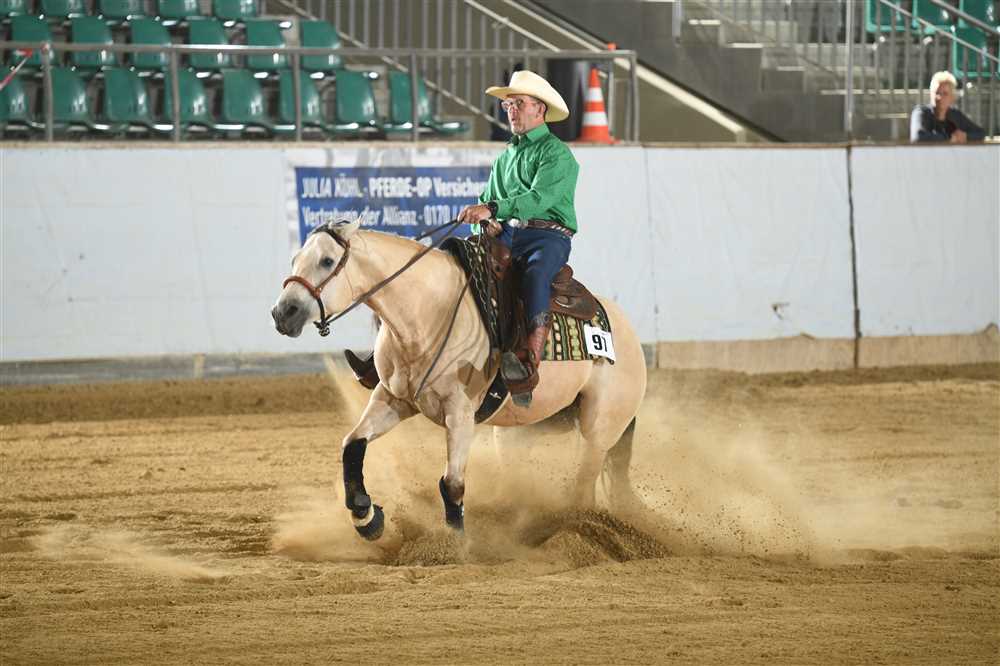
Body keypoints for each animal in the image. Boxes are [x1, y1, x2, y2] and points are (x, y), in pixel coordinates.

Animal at [271, 219, 646, 540]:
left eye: (327, 260)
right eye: (295, 259)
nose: (283, 313)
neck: (428, 312)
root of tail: (627, 332)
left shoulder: (460, 414)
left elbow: (452, 484)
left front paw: (455, 546)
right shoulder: (392, 399)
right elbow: (352, 445)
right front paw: (366, 516)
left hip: (599, 429)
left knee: (584, 489)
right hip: (518, 433)